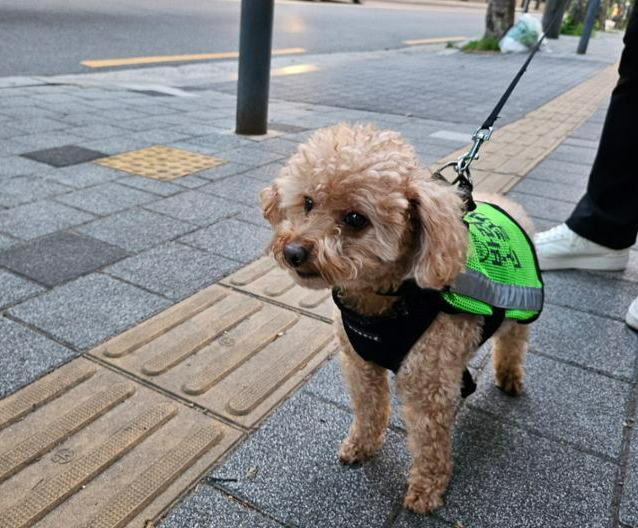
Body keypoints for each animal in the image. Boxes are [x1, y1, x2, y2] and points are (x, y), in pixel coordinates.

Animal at [258, 122, 536, 512]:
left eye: (355, 219)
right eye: (308, 202)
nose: (293, 252)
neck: (381, 304)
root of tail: (504, 203)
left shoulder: (428, 384)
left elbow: (430, 442)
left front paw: (425, 491)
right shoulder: (359, 364)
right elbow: (368, 409)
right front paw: (359, 447)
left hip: (520, 310)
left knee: (513, 341)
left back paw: (509, 377)